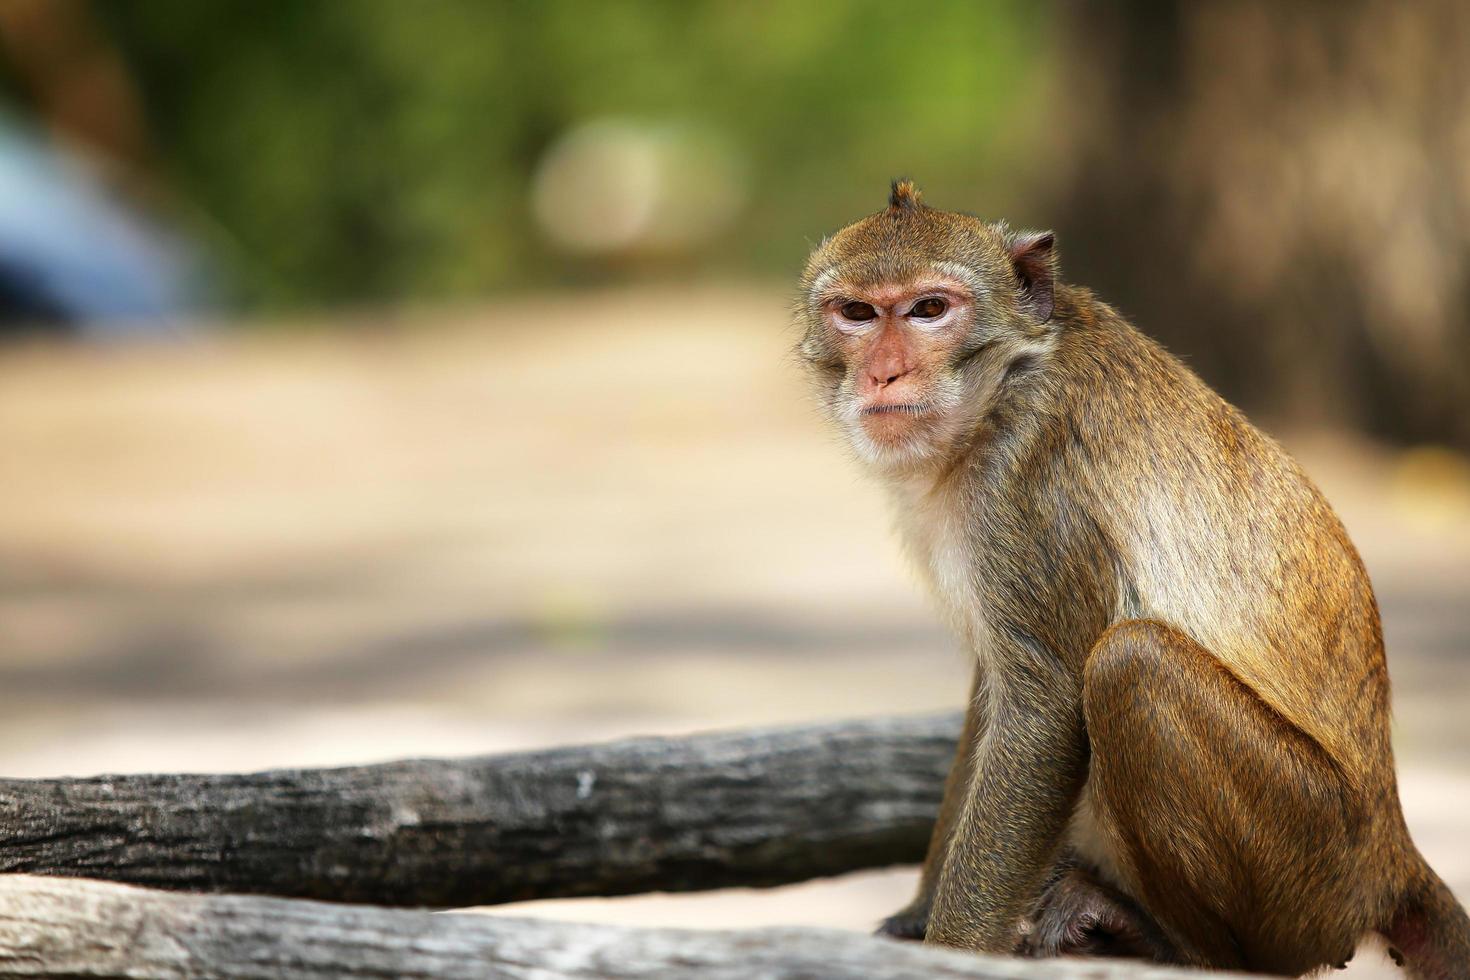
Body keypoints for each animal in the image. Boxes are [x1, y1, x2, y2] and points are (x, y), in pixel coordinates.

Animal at [799, 182, 1470, 975]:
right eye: (858, 313)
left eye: (930, 308)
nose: (885, 373)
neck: (1003, 386)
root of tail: (1391, 851)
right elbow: (995, 689)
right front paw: (915, 916)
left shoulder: (1029, 482)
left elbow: (1044, 709)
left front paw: (953, 948)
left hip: (1314, 868)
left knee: (1132, 663)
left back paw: (1175, 943)